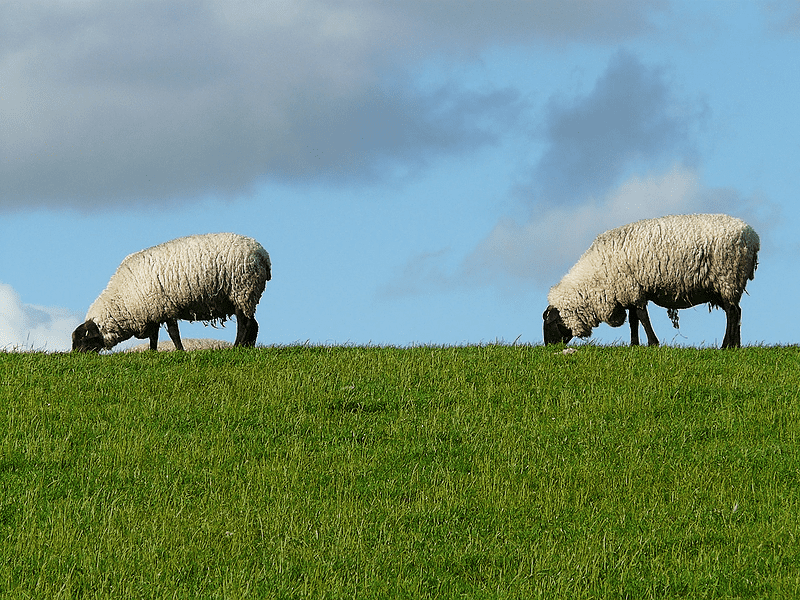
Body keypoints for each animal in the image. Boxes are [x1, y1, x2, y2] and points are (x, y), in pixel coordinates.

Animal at [72, 231, 272, 352]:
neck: (125, 299)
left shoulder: (166, 307)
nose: (76, 357)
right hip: (245, 295)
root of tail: (262, 254)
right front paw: (152, 353)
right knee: (253, 324)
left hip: (241, 291)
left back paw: (236, 347)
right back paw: (246, 348)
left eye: (83, 340)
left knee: (245, 324)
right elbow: (154, 337)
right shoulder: (153, 311)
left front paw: (180, 351)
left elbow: (173, 334)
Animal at [540, 213, 760, 350]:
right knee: (737, 311)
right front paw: (634, 345)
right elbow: (633, 321)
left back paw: (726, 345)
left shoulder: (632, 289)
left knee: (732, 313)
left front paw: (653, 343)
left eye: (550, 323)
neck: (596, 278)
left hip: (727, 277)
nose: (548, 347)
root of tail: (753, 237)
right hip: (725, 285)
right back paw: (736, 345)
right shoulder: (628, 291)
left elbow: (642, 317)